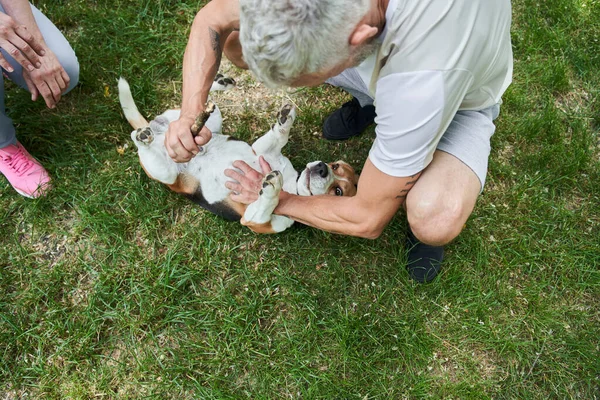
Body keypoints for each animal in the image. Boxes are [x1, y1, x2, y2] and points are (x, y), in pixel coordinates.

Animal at [119, 76, 358, 233]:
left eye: (337, 191)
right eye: (335, 166)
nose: (322, 167)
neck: (293, 182)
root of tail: (160, 135)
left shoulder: (255, 220)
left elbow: (267, 203)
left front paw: (272, 186)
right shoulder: (261, 150)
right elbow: (279, 137)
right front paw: (285, 119)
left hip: (166, 174)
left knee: (145, 147)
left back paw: (143, 137)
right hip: (204, 124)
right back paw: (220, 84)